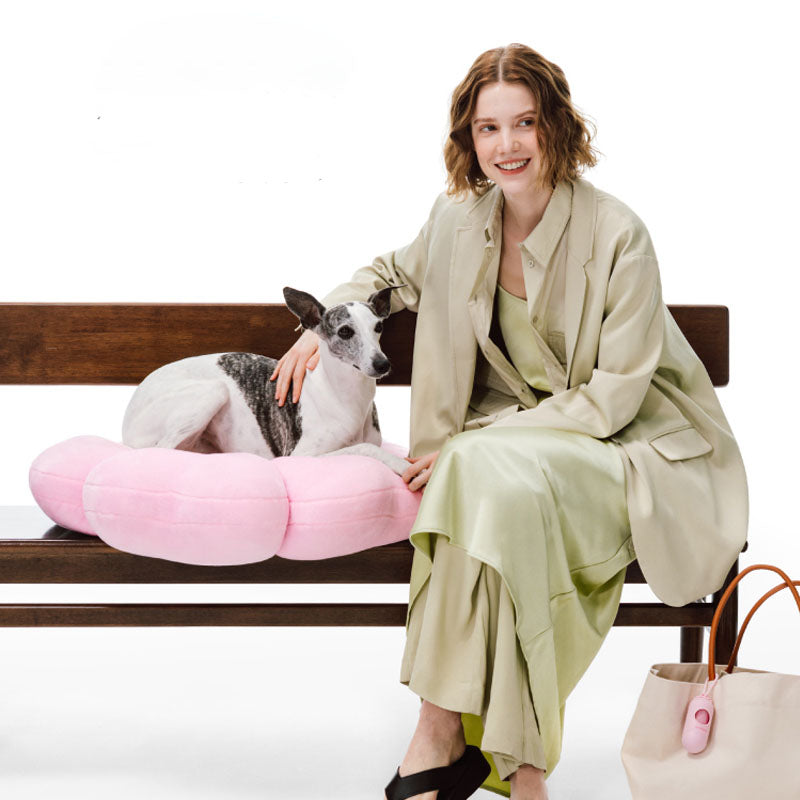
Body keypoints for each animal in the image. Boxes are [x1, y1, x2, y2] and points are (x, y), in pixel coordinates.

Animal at [121, 285, 410, 476]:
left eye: (378, 327)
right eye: (345, 332)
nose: (382, 364)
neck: (345, 398)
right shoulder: (300, 456)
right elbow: (366, 448)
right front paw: (401, 464)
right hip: (212, 392)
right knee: (164, 451)